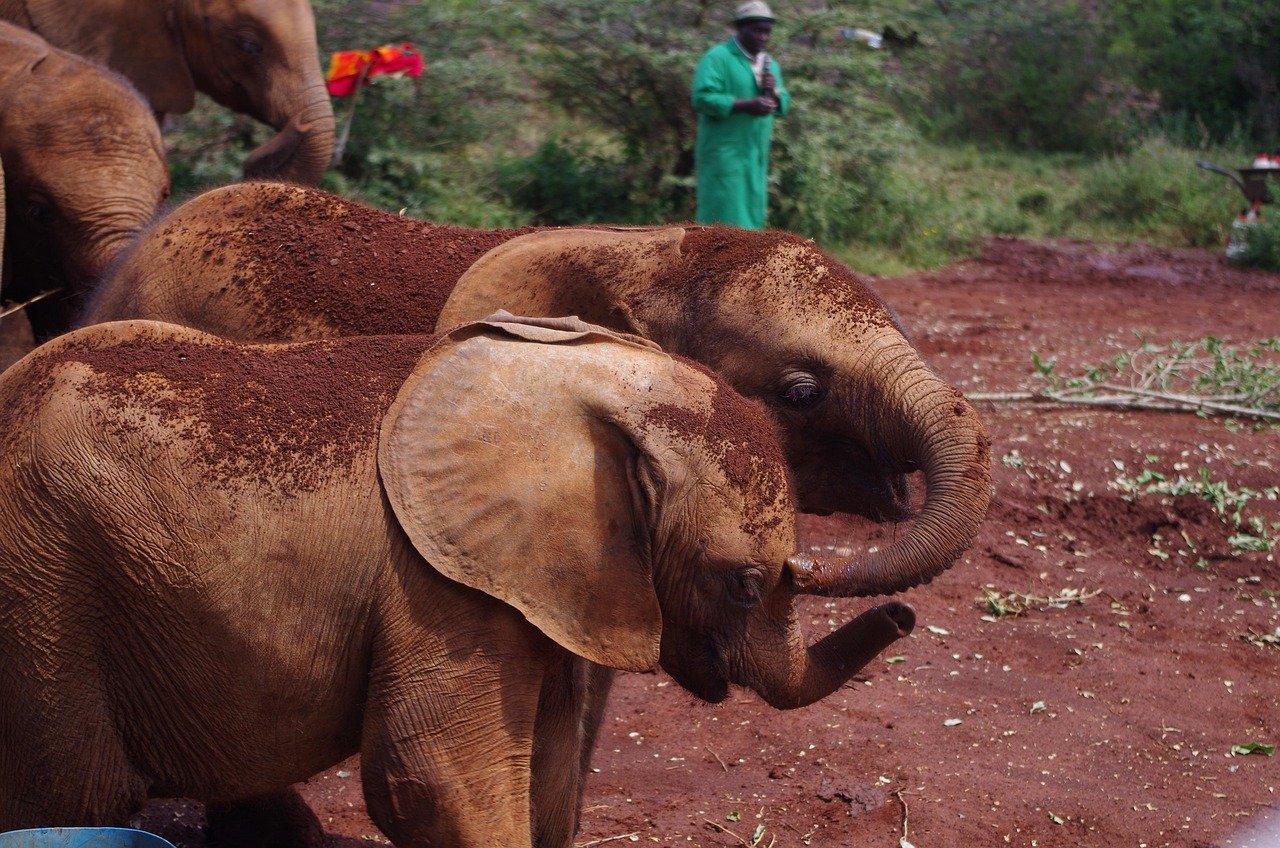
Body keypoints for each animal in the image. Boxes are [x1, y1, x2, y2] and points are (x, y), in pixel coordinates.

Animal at [0, 314, 915, 848]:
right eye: (745, 585)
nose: (906, 616)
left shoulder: (543, 583)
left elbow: (549, 766)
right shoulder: (439, 585)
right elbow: (429, 776)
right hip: (41, 582)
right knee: (71, 795)